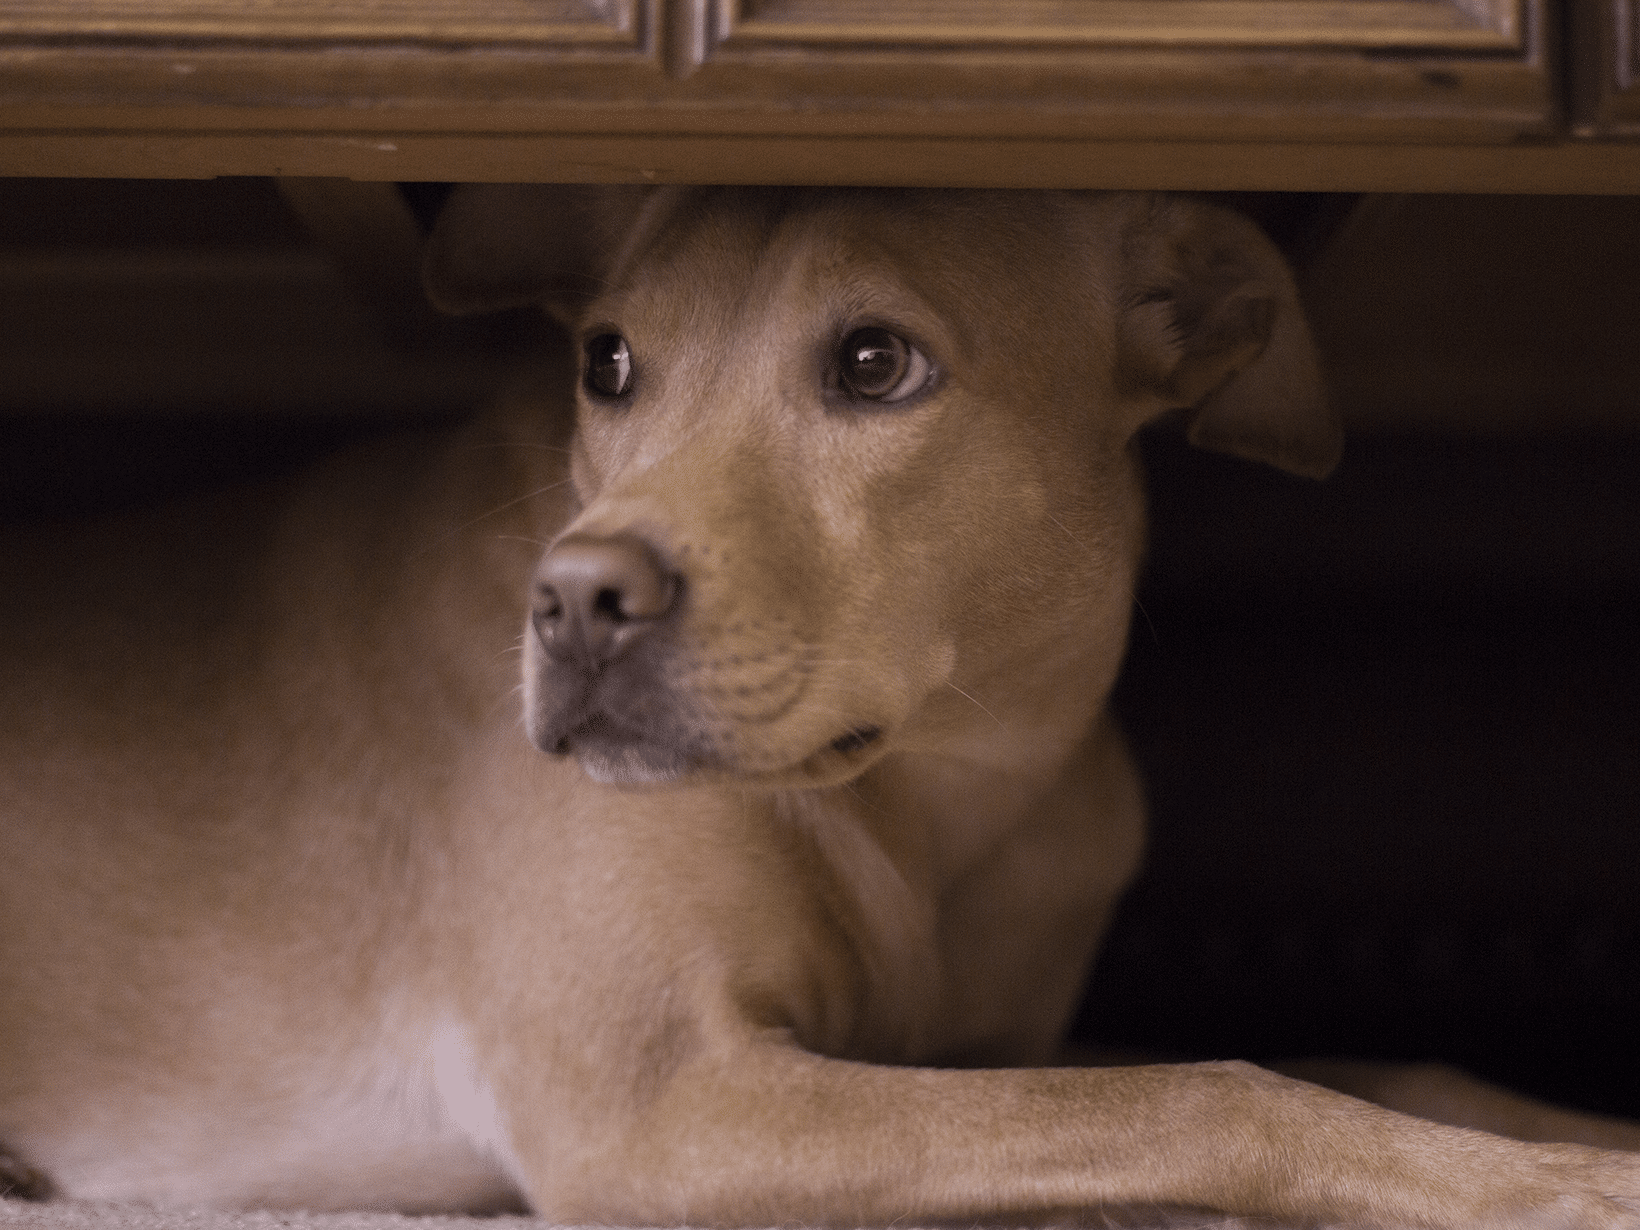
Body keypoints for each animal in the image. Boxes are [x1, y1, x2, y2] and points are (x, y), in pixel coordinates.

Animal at [3, 187, 1640, 1226]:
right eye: (607, 362)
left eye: (873, 361)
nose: (571, 604)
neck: (940, 780)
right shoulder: (666, 1106)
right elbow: (1213, 1092)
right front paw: (1542, 1190)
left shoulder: (968, 1055)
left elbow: (1344, 1062)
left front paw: (1575, 1131)